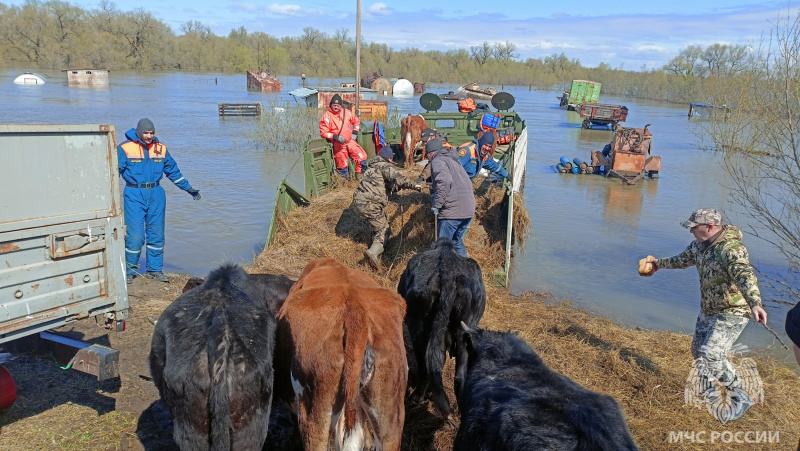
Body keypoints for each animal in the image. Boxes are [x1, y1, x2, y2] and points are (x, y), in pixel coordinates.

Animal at [396, 238, 484, 418]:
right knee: (458, 375)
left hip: (419, 330)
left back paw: (417, 398)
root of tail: (448, 276)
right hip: (463, 331)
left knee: (426, 368)